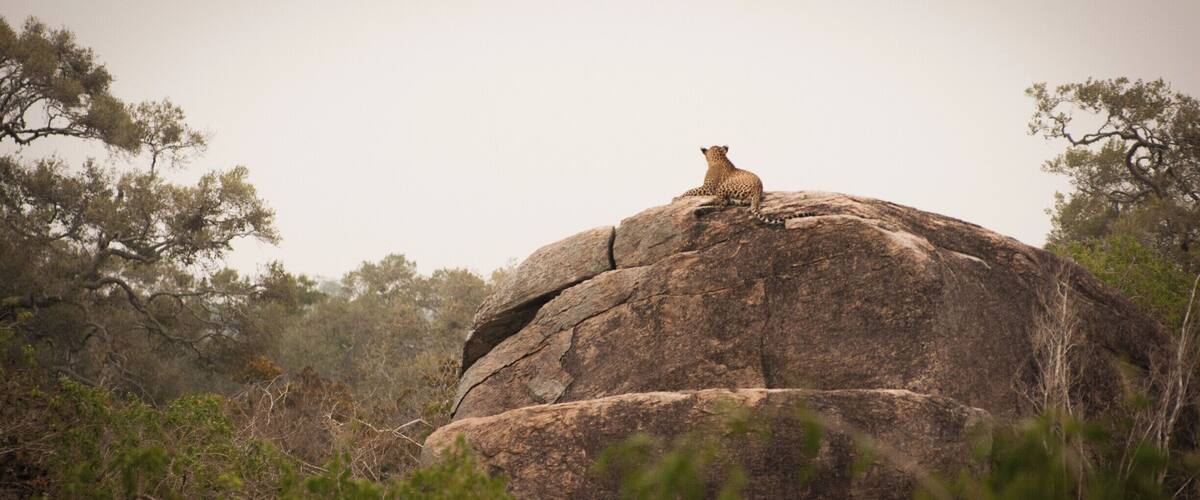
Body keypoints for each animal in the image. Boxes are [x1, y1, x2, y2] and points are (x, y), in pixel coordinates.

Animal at [678, 145, 814, 225]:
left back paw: (700, 208)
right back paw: (701, 209)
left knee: (721, 204)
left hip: (723, 188)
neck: (719, 157)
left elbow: (690, 190)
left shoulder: (707, 188)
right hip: (737, 199)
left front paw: (678, 197)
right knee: (724, 204)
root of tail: (759, 189)